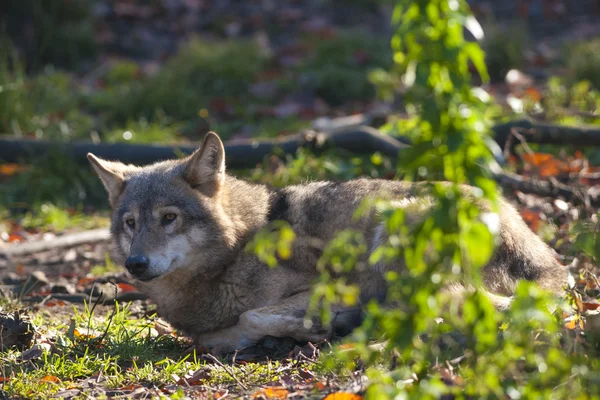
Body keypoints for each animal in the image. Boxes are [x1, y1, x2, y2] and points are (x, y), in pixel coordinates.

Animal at [86, 133, 564, 352]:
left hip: (393, 227)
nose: (136, 264)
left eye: (169, 218)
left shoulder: (328, 287)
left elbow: (253, 316)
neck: (237, 250)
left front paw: (308, 327)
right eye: (130, 223)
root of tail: (550, 265)